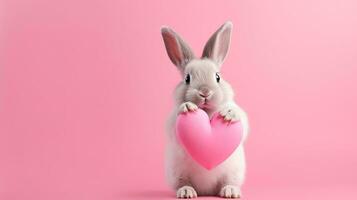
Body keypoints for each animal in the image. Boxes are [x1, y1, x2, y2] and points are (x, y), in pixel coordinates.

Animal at [161, 22, 248, 198]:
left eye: (218, 77)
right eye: (187, 78)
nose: (205, 92)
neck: (207, 113)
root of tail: (206, 190)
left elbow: (242, 120)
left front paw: (229, 114)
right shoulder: (172, 124)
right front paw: (188, 107)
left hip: (233, 173)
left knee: (227, 183)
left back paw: (230, 191)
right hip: (177, 174)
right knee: (183, 184)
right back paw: (187, 192)